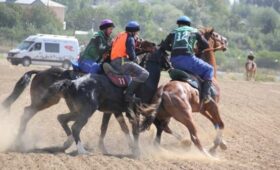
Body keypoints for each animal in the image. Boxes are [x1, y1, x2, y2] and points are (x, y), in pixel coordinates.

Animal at [1, 40, 155, 151]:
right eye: (139, 41)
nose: (154, 45)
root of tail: (39, 72)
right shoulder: (126, 110)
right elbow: (127, 128)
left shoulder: (114, 110)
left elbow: (118, 128)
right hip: (48, 101)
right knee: (29, 112)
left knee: (32, 113)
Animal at [139, 28, 229, 157]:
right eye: (216, 35)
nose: (226, 41)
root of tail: (164, 89)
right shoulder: (212, 105)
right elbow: (220, 124)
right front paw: (215, 147)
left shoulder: (202, 109)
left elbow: (215, 123)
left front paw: (222, 144)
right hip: (186, 116)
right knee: (194, 136)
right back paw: (206, 155)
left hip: (164, 115)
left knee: (162, 130)